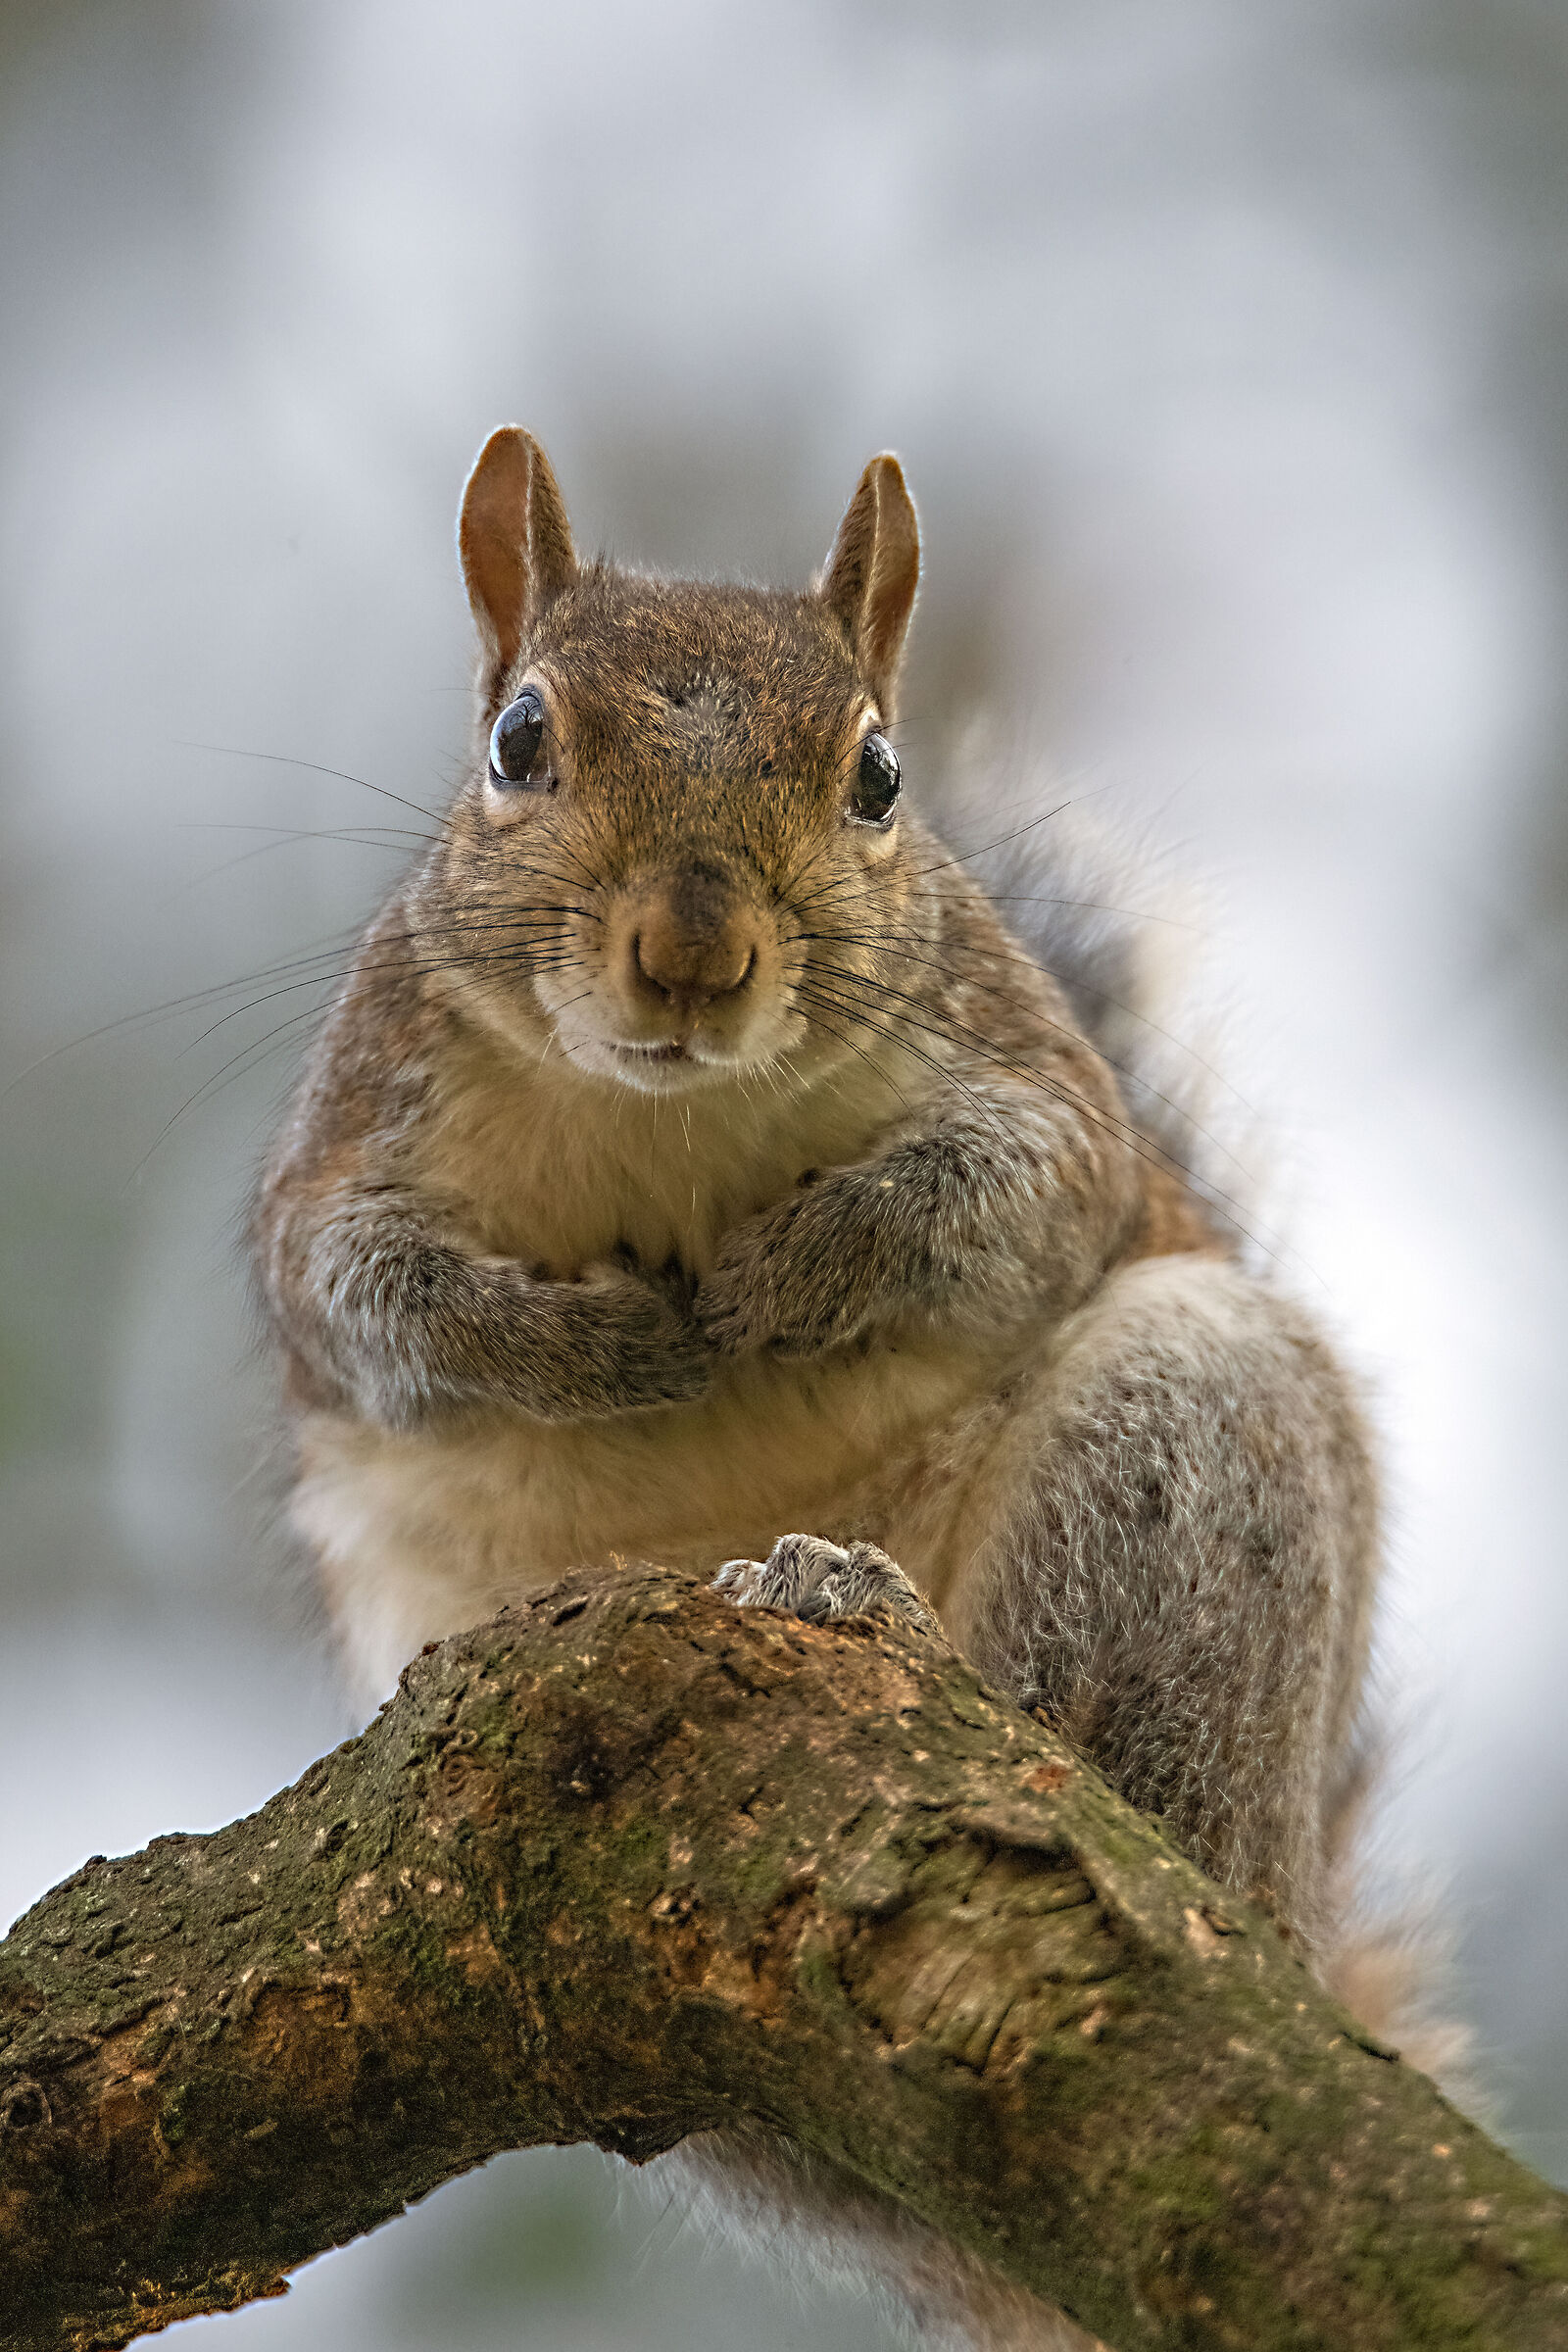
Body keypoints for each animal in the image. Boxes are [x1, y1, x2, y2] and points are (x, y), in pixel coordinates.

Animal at [252, 427, 1392, 2350]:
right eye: (519, 741)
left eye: (878, 776)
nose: (693, 952)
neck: (670, 1116)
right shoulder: (347, 1148)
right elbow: (369, 1305)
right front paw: (599, 1346)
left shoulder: (1037, 1086)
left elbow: (1010, 1191)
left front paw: (792, 1273)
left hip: (1186, 1447)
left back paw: (871, 1612)